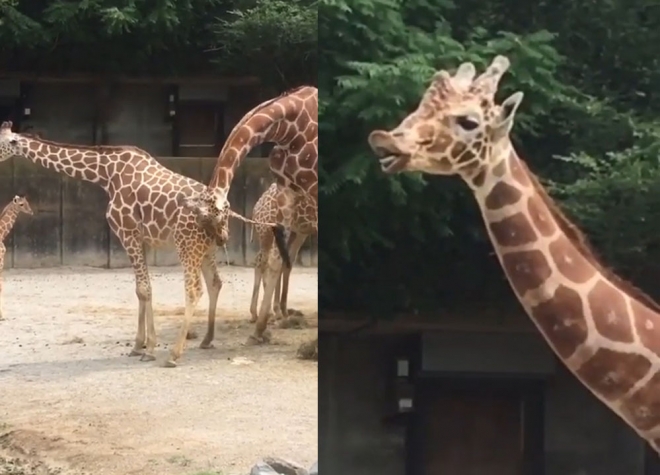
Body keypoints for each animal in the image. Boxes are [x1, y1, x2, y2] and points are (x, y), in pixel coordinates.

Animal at [0, 122, 286, 368]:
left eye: (0, 143)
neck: (105, 174)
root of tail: (226, 210)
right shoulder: (143, 239)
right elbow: (143, 290)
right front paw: (141, 345)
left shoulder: (127, 233)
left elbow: (144, 289)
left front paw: (149, 349)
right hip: (207, 247)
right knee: (215, 283)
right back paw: (206, 339)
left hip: (186, 245)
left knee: (194, 290)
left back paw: (174, 354)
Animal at [250, 181, 318, 324]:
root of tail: (256, 208)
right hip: (269, 232)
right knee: (265, 261)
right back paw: (263, 313)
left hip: (293, 232)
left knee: (279, 262)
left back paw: (277, 311)